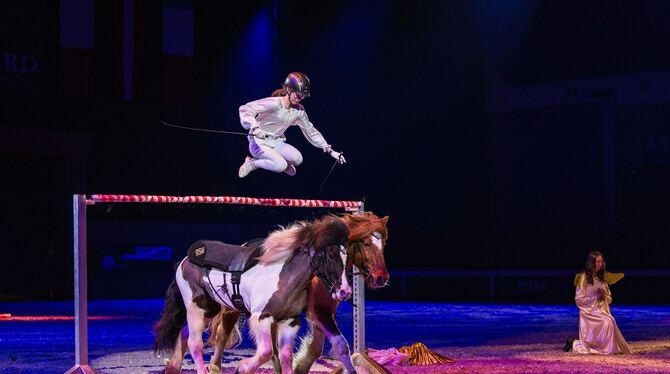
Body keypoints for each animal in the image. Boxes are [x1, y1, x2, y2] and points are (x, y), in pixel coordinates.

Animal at [152, 215, 352, 372]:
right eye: (331, 254)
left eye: (346, 256)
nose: (345, 291)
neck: (282, 276)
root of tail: (184, 261)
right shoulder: (262, 317)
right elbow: (266, 352)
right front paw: (242, 368)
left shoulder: (290, 320)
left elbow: (285, 357)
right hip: (196, 307)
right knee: (195, 344)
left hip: (210, 309)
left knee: (185, 333)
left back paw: (173, 367)